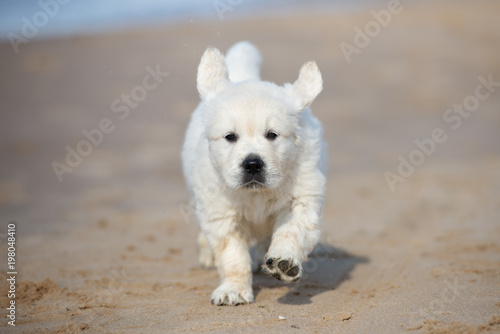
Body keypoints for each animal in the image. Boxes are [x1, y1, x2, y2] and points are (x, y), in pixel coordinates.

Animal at [182, 41, 326, 306]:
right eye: (230, 136)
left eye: (272, 135)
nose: (252, 164)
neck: (256, 194)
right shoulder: (221, 214)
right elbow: (232, 255)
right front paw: (234, 289)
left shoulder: (301, 200)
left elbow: (291, 231)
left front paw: (284, 261)